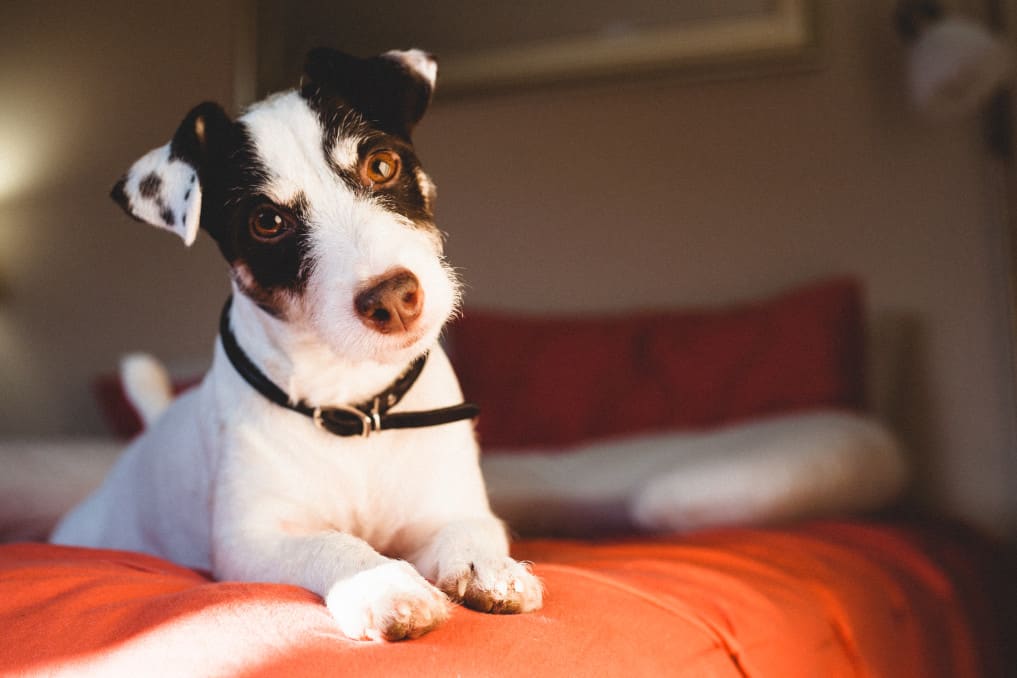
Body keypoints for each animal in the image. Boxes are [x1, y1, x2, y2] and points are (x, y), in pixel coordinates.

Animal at [49, 47, 541, 642]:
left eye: (381, 166)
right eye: (267, 221)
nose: (394, 298)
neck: (355, 404)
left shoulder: (450, 508)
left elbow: (468, 531)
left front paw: (487, 567)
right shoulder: (253, 540)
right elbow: (332, 544)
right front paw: (382, 584)